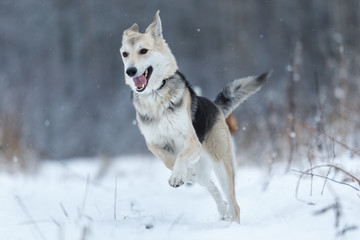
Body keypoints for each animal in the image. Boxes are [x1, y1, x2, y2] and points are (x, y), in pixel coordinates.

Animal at [121, 9, 270, 223]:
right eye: (125, 54)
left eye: (143, 51)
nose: (130, 71)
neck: (156, 96)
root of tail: (216, 106)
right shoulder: (152, 143)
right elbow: (167, 159)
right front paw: (179, 173)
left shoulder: (192, 142)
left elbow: (181, 156)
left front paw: (177, 176)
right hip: (204, 170)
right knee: (211, 186)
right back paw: (220, 207)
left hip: (221, 165)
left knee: (234, 204)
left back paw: (233, 223)